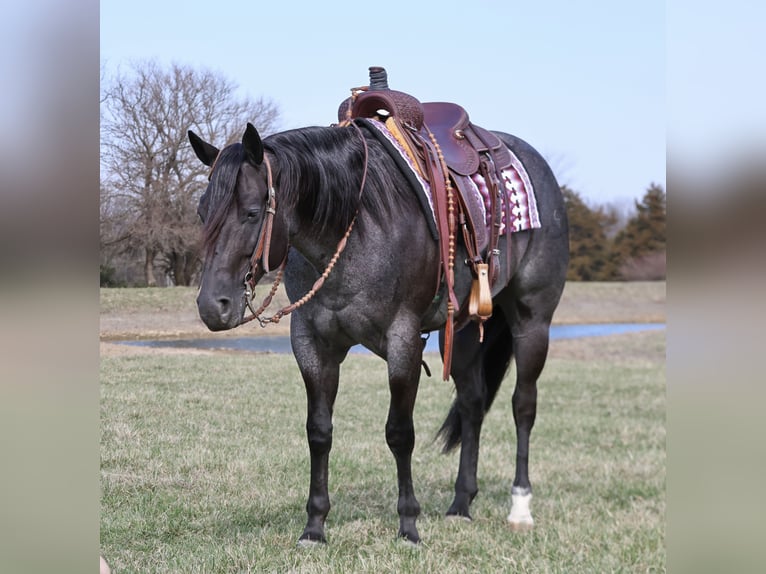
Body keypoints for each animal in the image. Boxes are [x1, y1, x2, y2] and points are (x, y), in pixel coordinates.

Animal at [187, 112, 568, 544]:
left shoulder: (403, 342)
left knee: (523, 405)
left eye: (252, 212)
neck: (352, 229)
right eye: (202, 212)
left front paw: (409, 525)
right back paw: (460, 504)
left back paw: (520, 507)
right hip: (465, 332)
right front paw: (314, 526)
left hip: (532, 321)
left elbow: (399, 433)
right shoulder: (311, 344)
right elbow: (319, 431)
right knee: (473, 404)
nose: (212, 306)